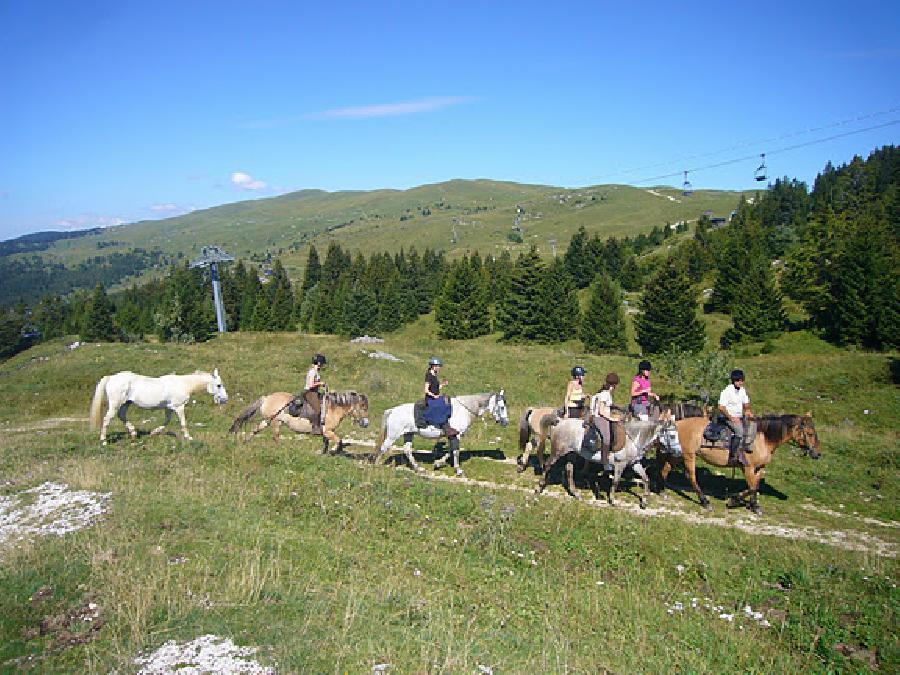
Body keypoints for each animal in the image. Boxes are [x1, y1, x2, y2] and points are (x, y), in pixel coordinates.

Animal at [90, 370, 229, 444]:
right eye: (219, 385)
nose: (225, 399)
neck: (183, 384)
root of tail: (111, 378)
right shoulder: (179, 407)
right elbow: (183, 423)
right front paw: (188, 437)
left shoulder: (169, 408)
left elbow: (166, 422)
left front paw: (153, 433)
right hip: (116, 404)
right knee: (106, 419)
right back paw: (103, 441)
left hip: (125, 403)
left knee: (122, 416)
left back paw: (134, 434)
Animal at [230, 390, 368, 454]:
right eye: (363, 407)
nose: (366, 424)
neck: (333, 408)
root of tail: (266, 398)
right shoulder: (328, 431)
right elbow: (338, 441)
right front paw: (334, 451)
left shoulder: (327, 432)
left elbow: (327, 443)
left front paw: (324, 453)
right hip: (275, 422)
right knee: (275, 436)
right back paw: (281, 449)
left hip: (268, 420)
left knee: (256, 429)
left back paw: (245, 442)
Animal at [370, 390, 506, 476]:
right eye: (502, 407)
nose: (505, 422)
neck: (464, 409)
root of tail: (392, 410)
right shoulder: (456, 435)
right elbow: (455, 452)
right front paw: (458, 471)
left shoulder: (452, 436)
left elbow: (450, 451)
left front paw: (437, 463)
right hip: (393, 435)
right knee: (383, 448)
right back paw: (376, 465)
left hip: (408, 434)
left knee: (407, 450)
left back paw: (419, 469)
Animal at [652, 412, 824, 516]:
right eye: (809, 433)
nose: (818, 454)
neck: (762, 439)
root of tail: (677, 424)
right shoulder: (747, 467)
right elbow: (752, 487)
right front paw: (733, 500)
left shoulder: (760, 468)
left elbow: (755, 486)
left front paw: (754, 506)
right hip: (689, 456)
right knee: (691, 476)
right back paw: (705, 502)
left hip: (677, 454)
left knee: (666, 468)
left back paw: (662, 490)